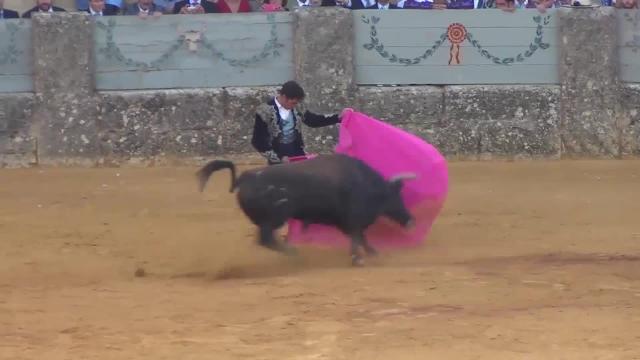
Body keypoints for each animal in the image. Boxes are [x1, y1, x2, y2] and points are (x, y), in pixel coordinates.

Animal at [195, 153, 416, 266]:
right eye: (396, 197)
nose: (410, 220)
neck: (366, 183)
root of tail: (245, 178)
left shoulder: (345, 222)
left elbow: (360, 237)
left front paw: (371, 253)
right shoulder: (353, 218)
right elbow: (358, 236)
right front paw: (358, 258)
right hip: (275, 218)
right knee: (265, 239)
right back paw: (294, 252)